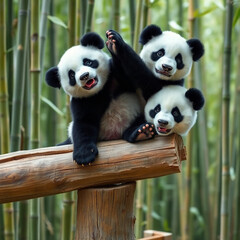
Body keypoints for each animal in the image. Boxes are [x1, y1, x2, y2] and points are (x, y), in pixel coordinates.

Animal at [45, 32, 142, 165]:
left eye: (88, 62)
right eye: (71, 75)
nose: (84, 76)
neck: (101, 89)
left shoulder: (117, 76)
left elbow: (138, 74)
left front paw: (115, 44)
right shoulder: (83, 100)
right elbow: (84, 124)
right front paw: (85, 155)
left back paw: (139, 131)